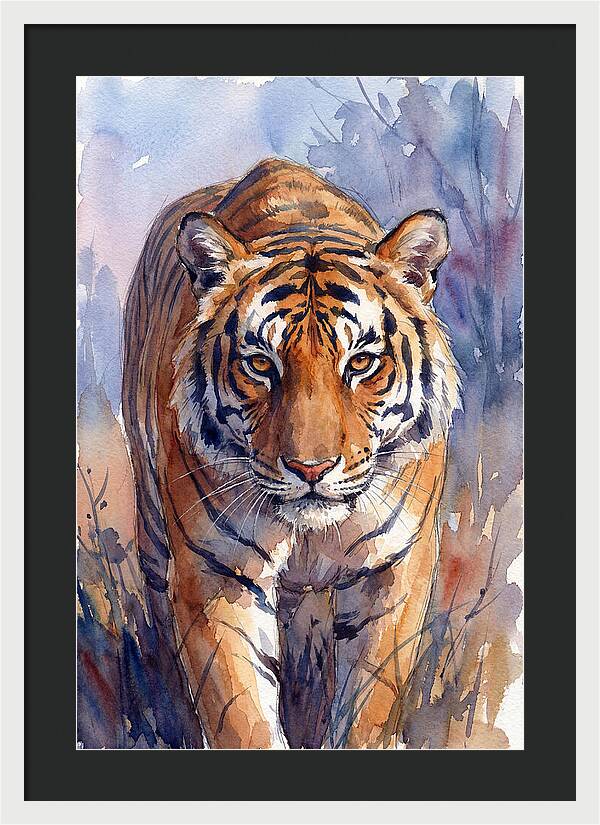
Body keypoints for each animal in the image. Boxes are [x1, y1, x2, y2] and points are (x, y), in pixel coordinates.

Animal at [122, 158, 460, 749]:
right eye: (261, 364)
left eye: (361, 362)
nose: (311, 468)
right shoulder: (217, 570)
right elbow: (240, 714)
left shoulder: (395, 568)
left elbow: (370, 702)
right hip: (153, 524)